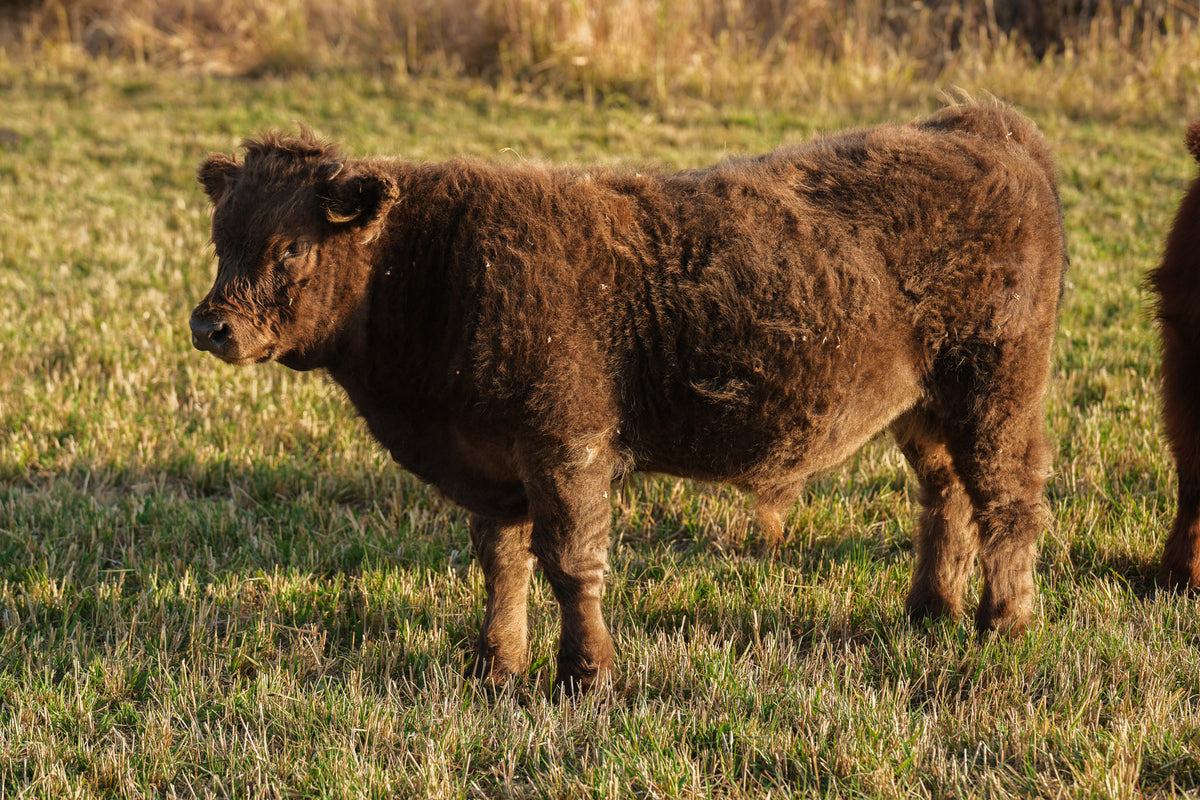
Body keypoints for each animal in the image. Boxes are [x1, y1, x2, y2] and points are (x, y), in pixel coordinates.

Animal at [190, 102, 1066, 694]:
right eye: (221, 238)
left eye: (290, 248)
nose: (209, 325)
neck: (433, 266)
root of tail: (978, 126)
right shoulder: (494, 467)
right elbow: (502, 566)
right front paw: (496, 666)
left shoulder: (565, 443)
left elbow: (572, 563)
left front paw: (587, 675)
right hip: (924, 409)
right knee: (944, 495)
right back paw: (930, 609)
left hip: (997, 393)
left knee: (1008, 500)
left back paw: (1005, 621)